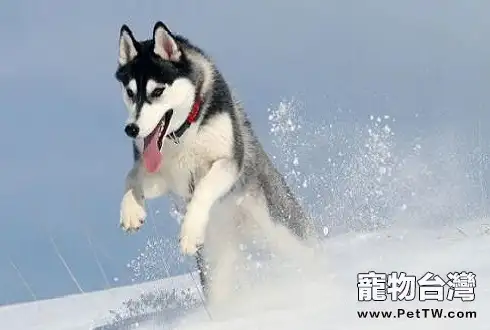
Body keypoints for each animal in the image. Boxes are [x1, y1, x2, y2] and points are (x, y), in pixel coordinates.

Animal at [115, 21, 314, 304]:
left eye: (158, 91)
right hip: (216, 264)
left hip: (283, 227)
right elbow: (132, 176)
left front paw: (189, 232)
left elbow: (204, 188)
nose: (131, 129)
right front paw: (131, 211)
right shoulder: (166, 177)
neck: (184, 134)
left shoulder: (228, 162)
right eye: (130, 92)